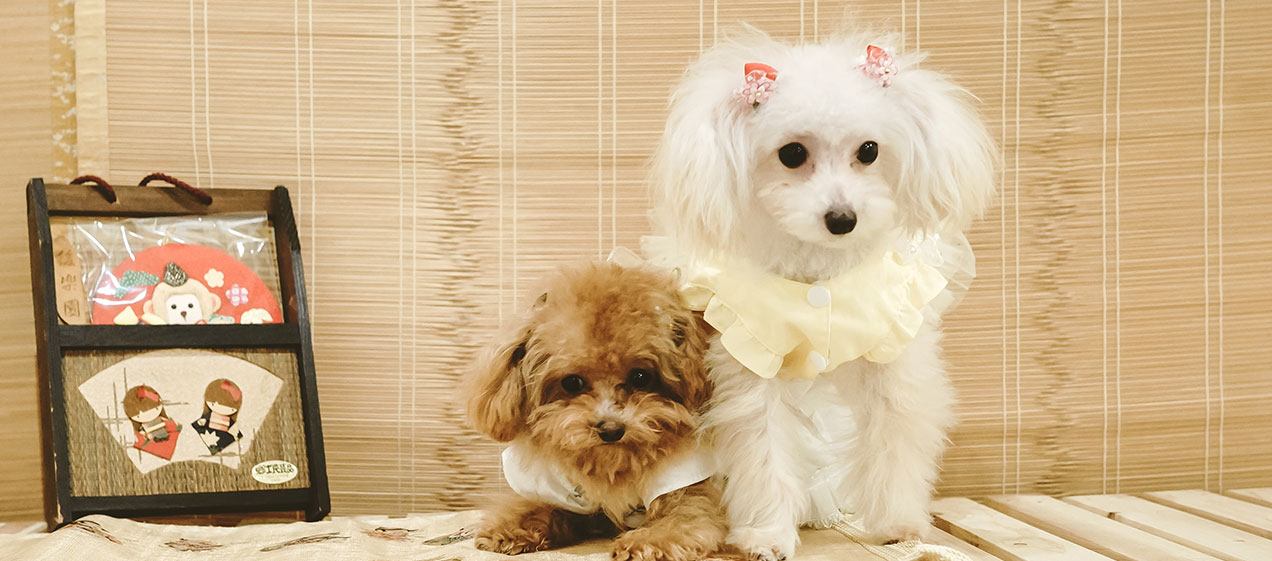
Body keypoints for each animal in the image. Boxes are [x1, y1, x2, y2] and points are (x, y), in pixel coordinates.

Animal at [467, 262, 727, 561]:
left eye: (640, 376)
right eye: (572, 382)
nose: (611, 429)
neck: (612, 464)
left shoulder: (683, 482)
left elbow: (688, 518)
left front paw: (647, 541)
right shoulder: (560, 493)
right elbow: (536, 506)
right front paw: (509, 529)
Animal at [648, 29, 996, 559]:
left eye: (869, 150)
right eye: (791, 153)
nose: (842, 219)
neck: (819, 276)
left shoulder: (892, 359)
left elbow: (894, 440)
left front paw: (898, 523)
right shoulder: (751, 364)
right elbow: (763, 448)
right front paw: (767, 535)